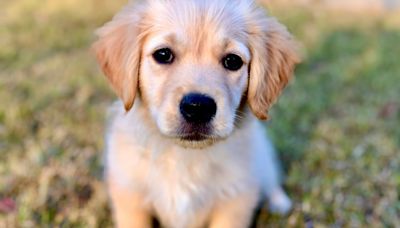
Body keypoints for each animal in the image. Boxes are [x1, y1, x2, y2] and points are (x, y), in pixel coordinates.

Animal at [94, 0, 300, 227]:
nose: (198, 107)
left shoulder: (235, 202)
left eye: (233, 61)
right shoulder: (130, 199)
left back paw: (280, 202)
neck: (185, 156)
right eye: (163, 55)